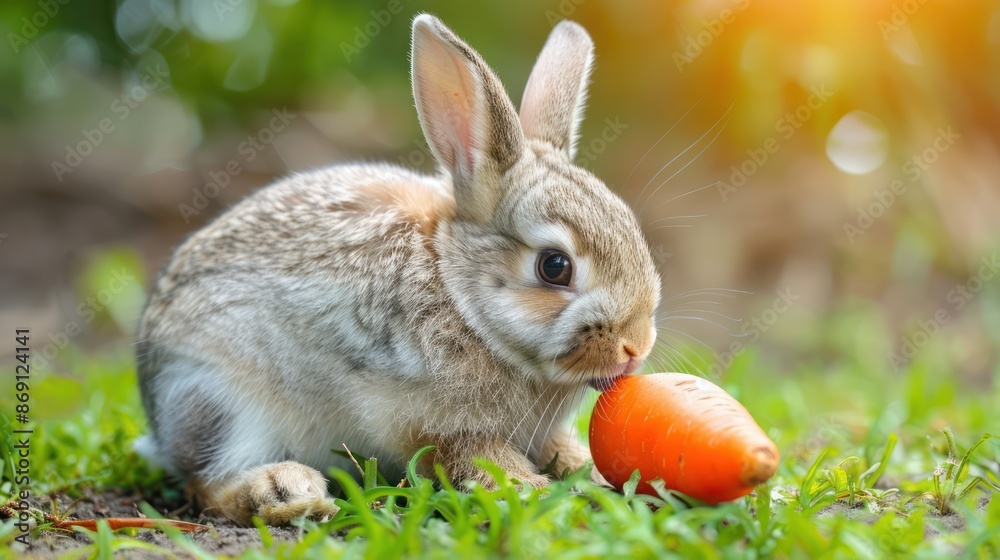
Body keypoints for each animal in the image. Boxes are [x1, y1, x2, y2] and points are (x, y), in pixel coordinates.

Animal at [135, 14, 661, 526]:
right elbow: (478, 456)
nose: (635, 347)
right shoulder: (431, 423)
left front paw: (582, 471)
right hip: (220, 397)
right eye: (555, 267)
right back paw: (285, 492)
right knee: (207, 483)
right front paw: (533, 490)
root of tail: (160, 423)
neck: (461, 296)